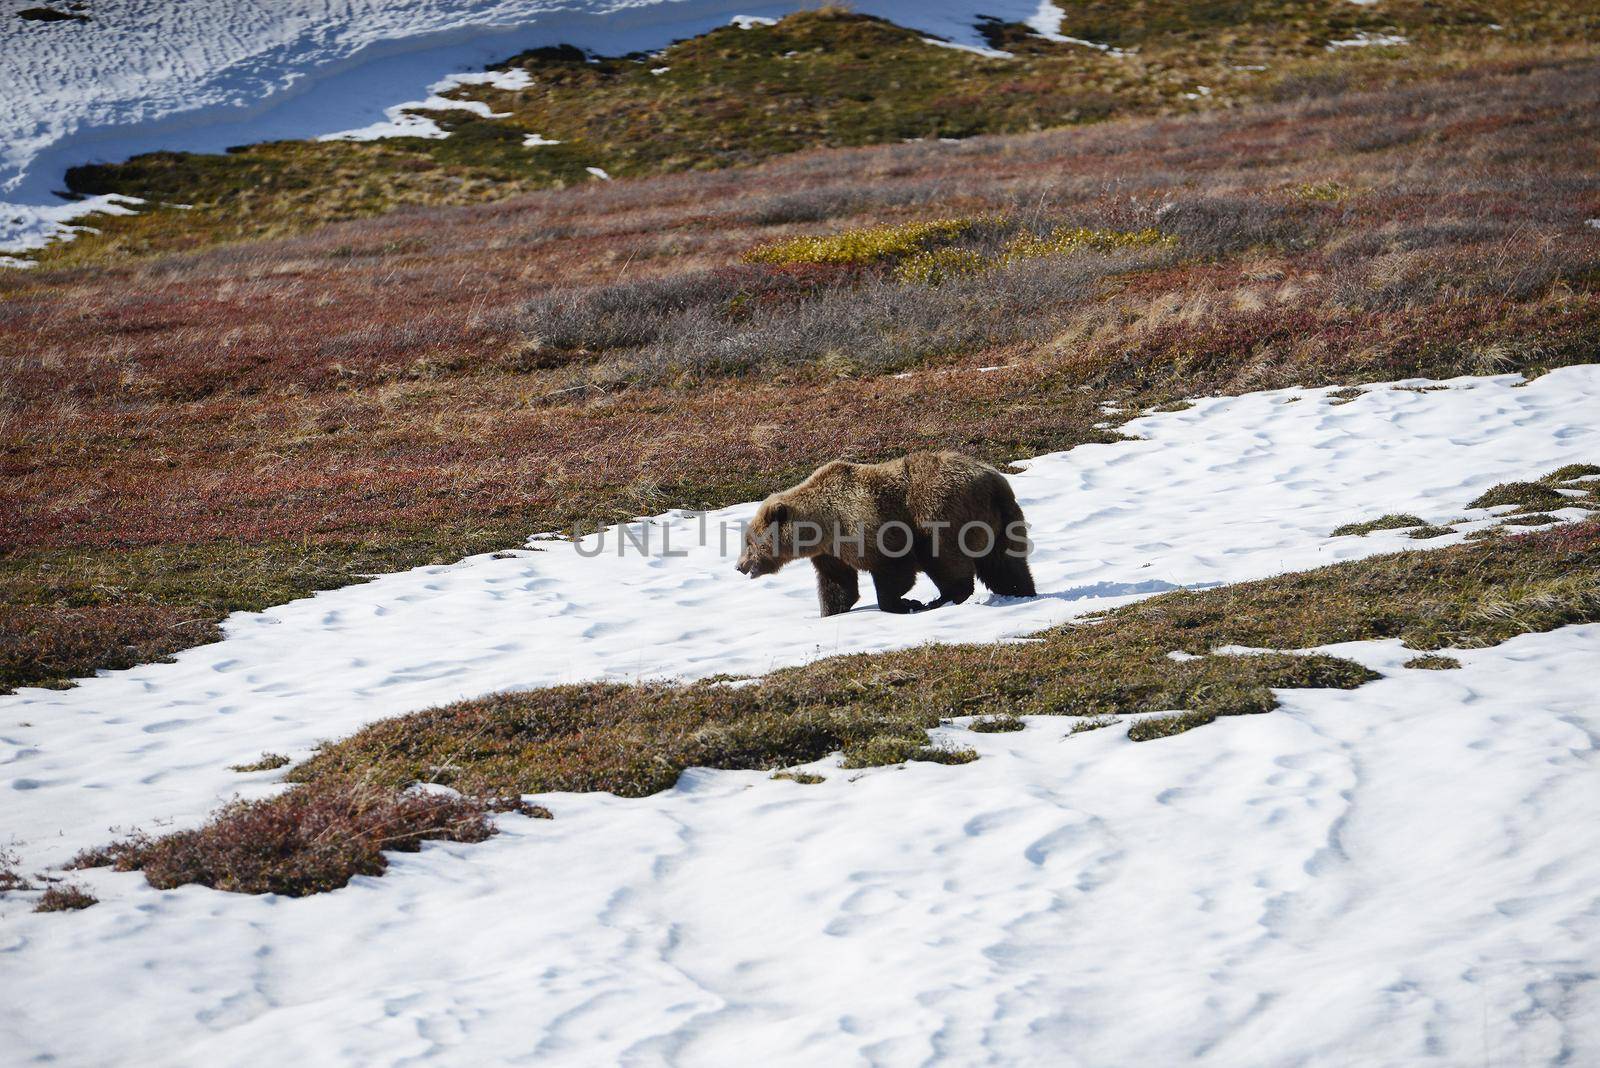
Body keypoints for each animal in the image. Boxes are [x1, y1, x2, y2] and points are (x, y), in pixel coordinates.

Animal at [736, 450, 1036, 617]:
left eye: (749, 542)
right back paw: (1021, 592)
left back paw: (940, 600)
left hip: (940, 512)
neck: (822, 526)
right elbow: (837, 584)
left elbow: (893, 570)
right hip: (1003, 520)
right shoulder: (831, 553)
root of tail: (993, 481)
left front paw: (905, 602)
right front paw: (828, 612)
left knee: (946, 560)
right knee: (1006, 564)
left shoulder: (867, 525)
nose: (740, 566)